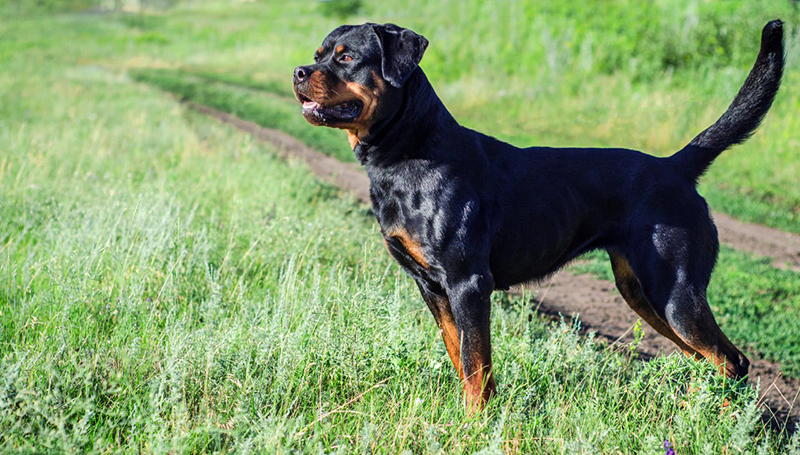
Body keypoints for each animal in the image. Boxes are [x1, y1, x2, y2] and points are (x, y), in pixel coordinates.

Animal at [290, 20, 784, 410]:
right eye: (317, 56)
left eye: (347, 57)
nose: (297, 72)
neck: (408, 150)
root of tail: (676, 166)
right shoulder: (431, 286)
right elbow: (461, 358)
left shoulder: (469, 282)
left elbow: (477, 363)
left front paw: (476, 422)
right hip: (643, 293)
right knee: (706, 360)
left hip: (675, 291)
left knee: (733, 361)